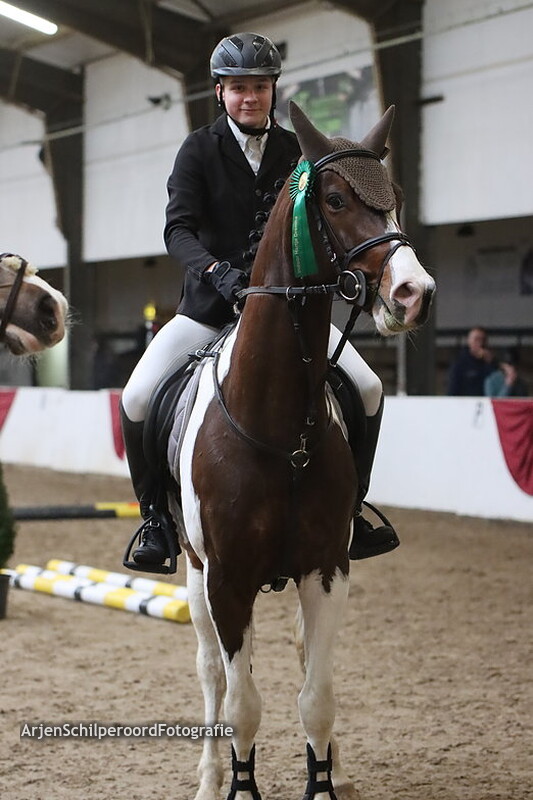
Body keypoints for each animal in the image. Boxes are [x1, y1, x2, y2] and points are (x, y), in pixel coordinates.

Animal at [170, 103, 435, 800]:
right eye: (336, 200)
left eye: (396, 198)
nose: (414, 293)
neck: (278, 424)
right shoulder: (227, 579)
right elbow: (243, 706)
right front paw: (237, 786)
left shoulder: (326, 568)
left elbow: (316, 698)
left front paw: (324, 778)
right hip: (194, 572)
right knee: (211, 671)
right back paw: (209, 777)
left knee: (299, 659)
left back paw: (335, 767)